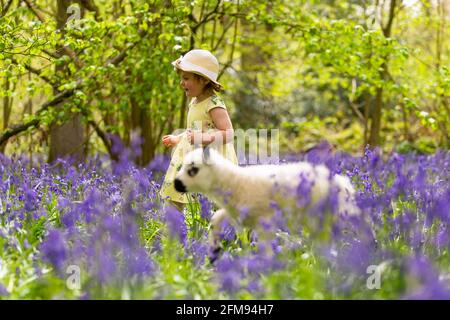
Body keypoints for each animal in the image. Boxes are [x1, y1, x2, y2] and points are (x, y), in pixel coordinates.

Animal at [173, 148, 358, 255]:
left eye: (193, 170)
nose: (176, 183)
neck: (236, 183)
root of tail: (343, 183)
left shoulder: (265, 222)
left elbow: (266, 248)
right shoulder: (238, 214)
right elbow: (216, 218)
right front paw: (214, 249)